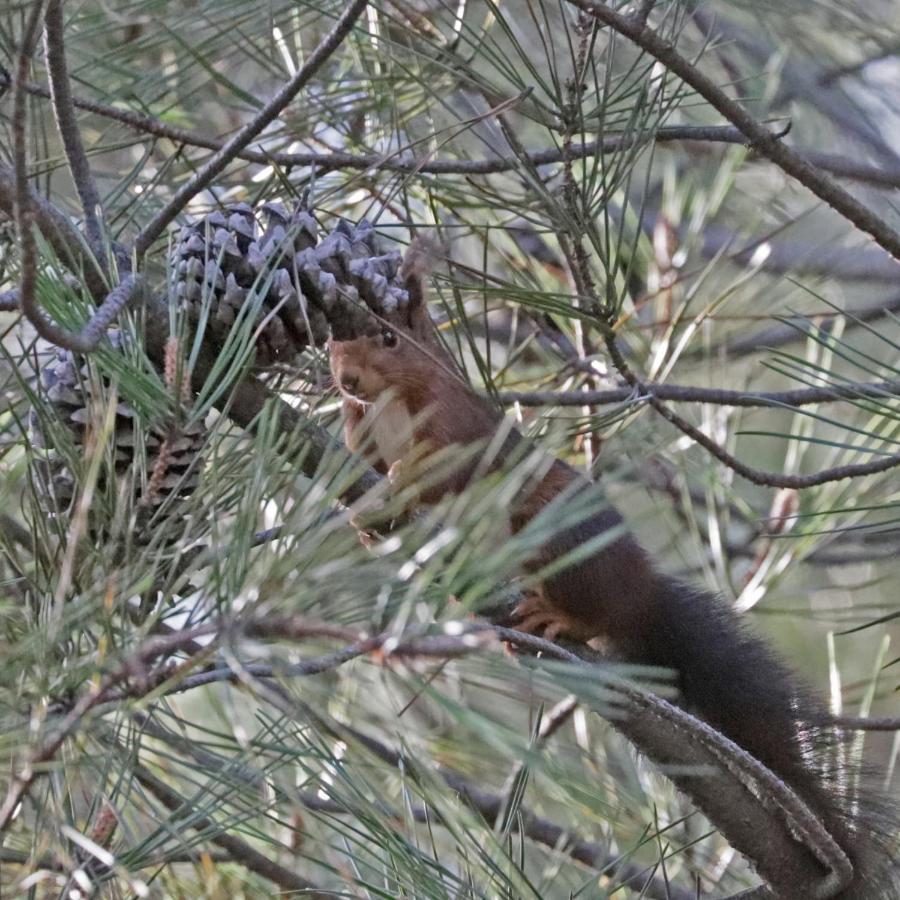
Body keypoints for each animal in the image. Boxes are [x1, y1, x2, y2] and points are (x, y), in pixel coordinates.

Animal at [328, 239, 892, 892]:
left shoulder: (457, 429)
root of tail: (640, 595)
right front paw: (366, 506)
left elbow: (440, 469)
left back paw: (558, 619)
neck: (390, 402)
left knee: (592, 614)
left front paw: (395, 483)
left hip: (561, 543)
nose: (346, 378)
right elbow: (363, 455)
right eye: (333, 337)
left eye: (388, 338)